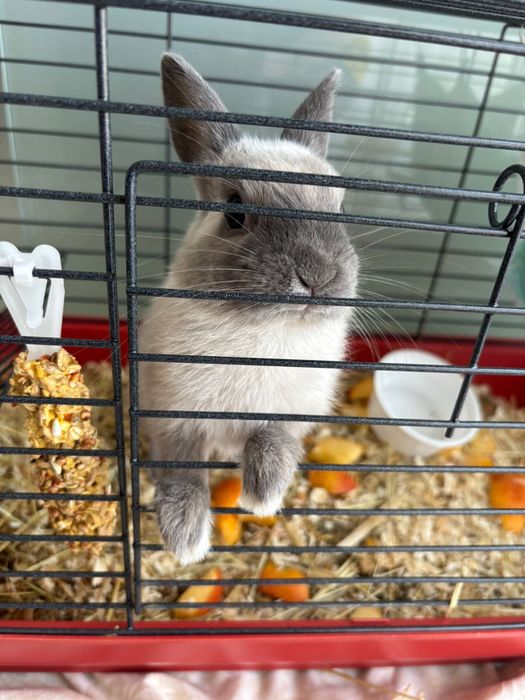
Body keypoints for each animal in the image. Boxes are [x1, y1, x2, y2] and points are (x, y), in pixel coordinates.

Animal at [139, 53, 359, 565]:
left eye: (339, 206)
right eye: (235, 211)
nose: (317, 276)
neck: (262, 331)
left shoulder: (289, 416)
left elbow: (271, 441)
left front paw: (262, 496)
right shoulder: (174, 419)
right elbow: (181, 472)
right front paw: (185, 542)